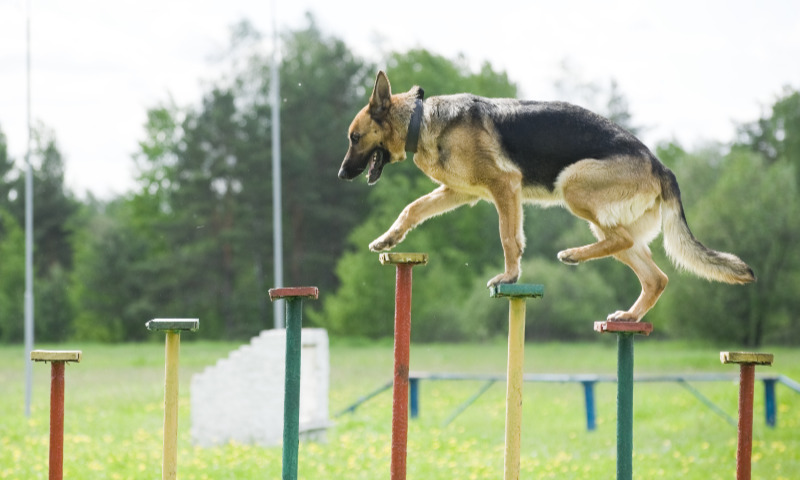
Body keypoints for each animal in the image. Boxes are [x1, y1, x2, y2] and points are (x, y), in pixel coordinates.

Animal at [338, 71, 755, 322]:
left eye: (354, 138)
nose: (341, 174)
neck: (419, 119)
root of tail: (660, 165)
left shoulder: (504, 187)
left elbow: (509, 238)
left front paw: (510, 275)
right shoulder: (458, 192)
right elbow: (412, 209)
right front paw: (388, 239)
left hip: (572, 185)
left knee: (620, 240)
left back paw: (573, 255)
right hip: (610, 221)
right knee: (655, 276)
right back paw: (629, 315)